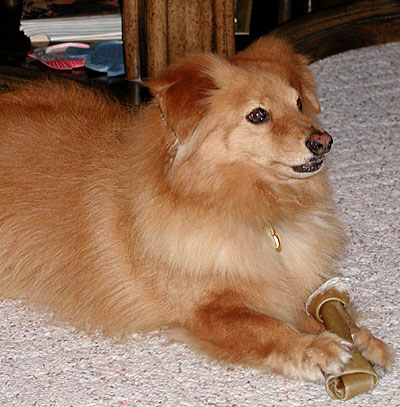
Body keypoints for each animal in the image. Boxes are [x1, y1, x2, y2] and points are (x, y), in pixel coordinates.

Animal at [0, 35, 390, 382]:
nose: (324, 141)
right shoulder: (202, 308)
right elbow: (265, 325)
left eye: (298, 103)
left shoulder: (288, 282)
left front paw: (358, 336)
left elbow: (312, 307)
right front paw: (313, 348)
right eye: (258, 115)